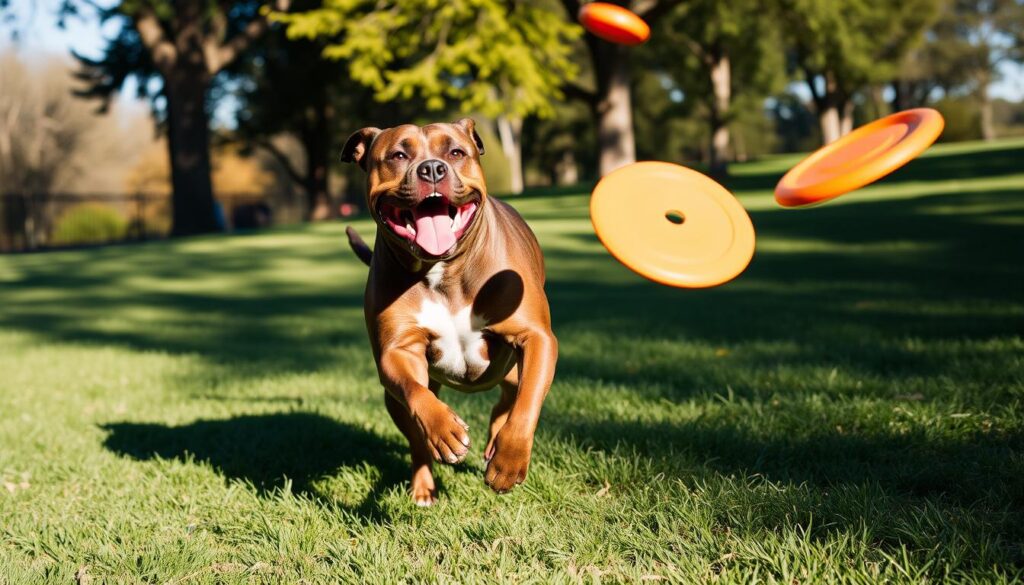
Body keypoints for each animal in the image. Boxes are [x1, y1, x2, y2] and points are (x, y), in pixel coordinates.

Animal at [339, 117, 557, 504]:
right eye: (398, 155)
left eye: (455, 152)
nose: (431, 168)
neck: (442, 271)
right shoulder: (397, 352)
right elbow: (416, 393)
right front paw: (445, 431)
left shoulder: (536, 338)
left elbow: (527, 405)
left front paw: (509, 461)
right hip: (394, 401)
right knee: (417, 438)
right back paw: (424, 486)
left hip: (513, 370)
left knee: (509, 399)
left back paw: (494, 447)